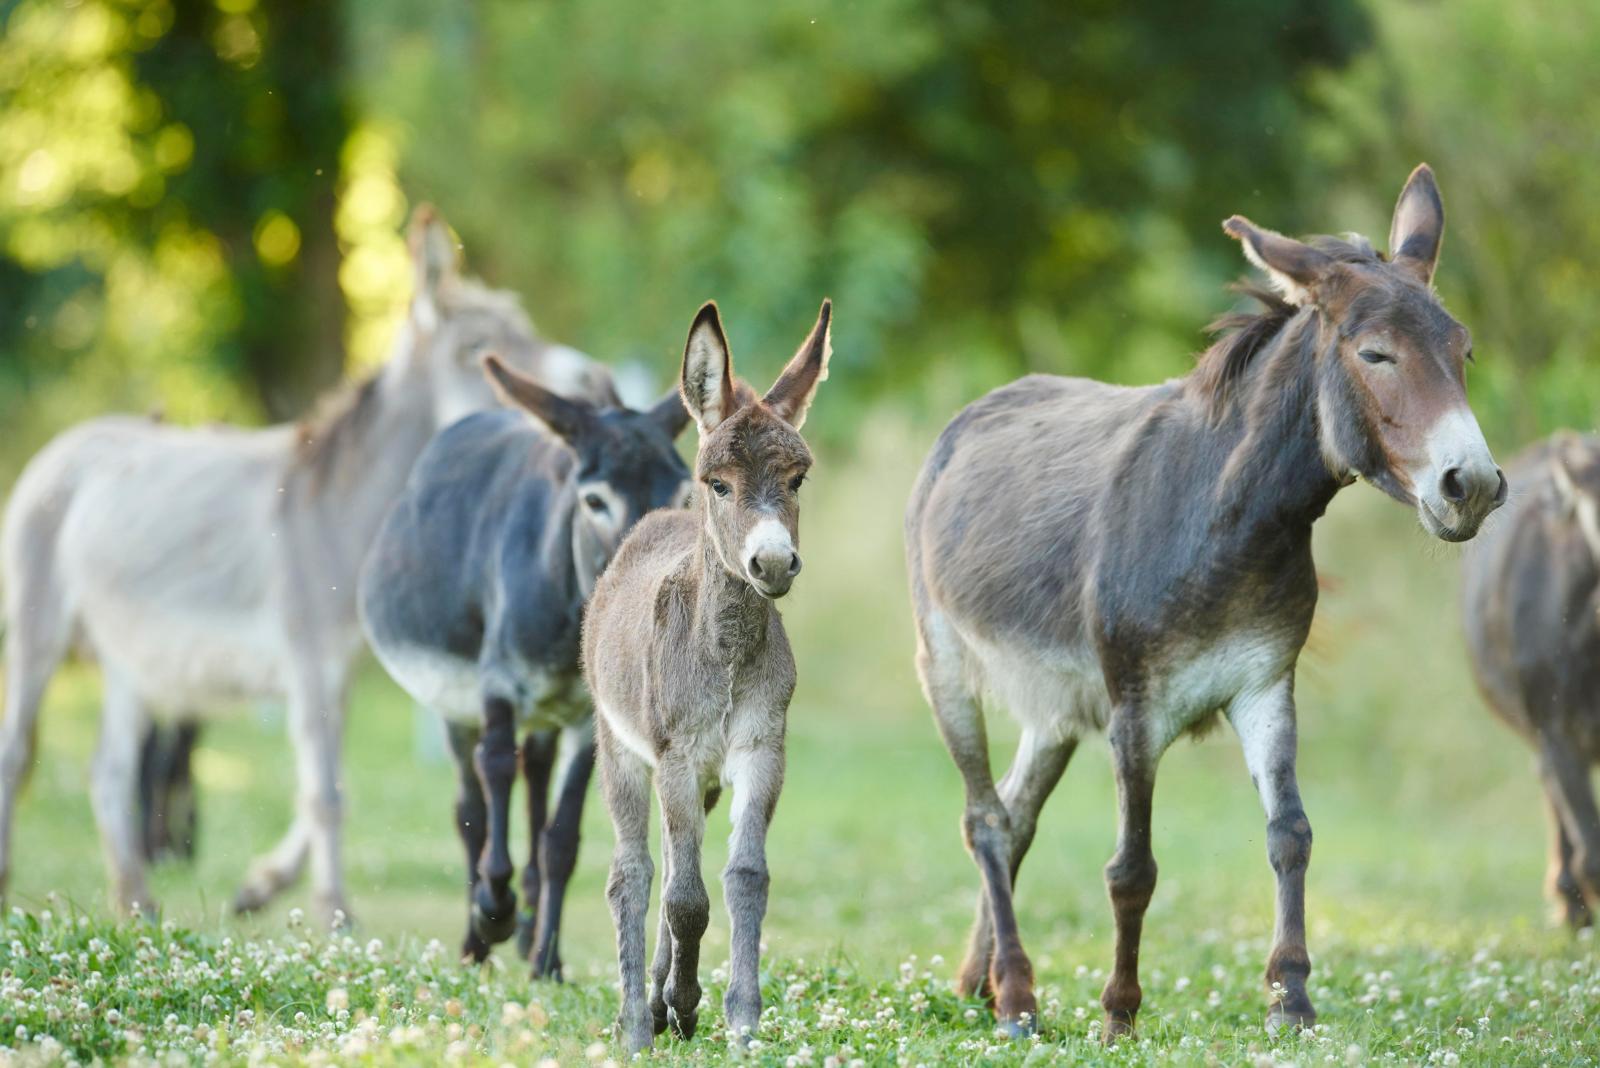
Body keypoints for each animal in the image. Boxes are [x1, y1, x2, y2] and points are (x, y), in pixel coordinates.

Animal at [588, 298, 838, 1048]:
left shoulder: (759, 751)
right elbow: (685, 900)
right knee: (635, 874)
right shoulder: (674, 755)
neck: (725, 652)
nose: (773, 563)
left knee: (673, 865)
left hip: (700, 780)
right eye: (719, 485)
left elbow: (744, 877)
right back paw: (637, 1022)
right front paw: (684, 1001)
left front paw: (739, 1019)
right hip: (622, 751)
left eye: (797, 479)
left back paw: (660, 1000)